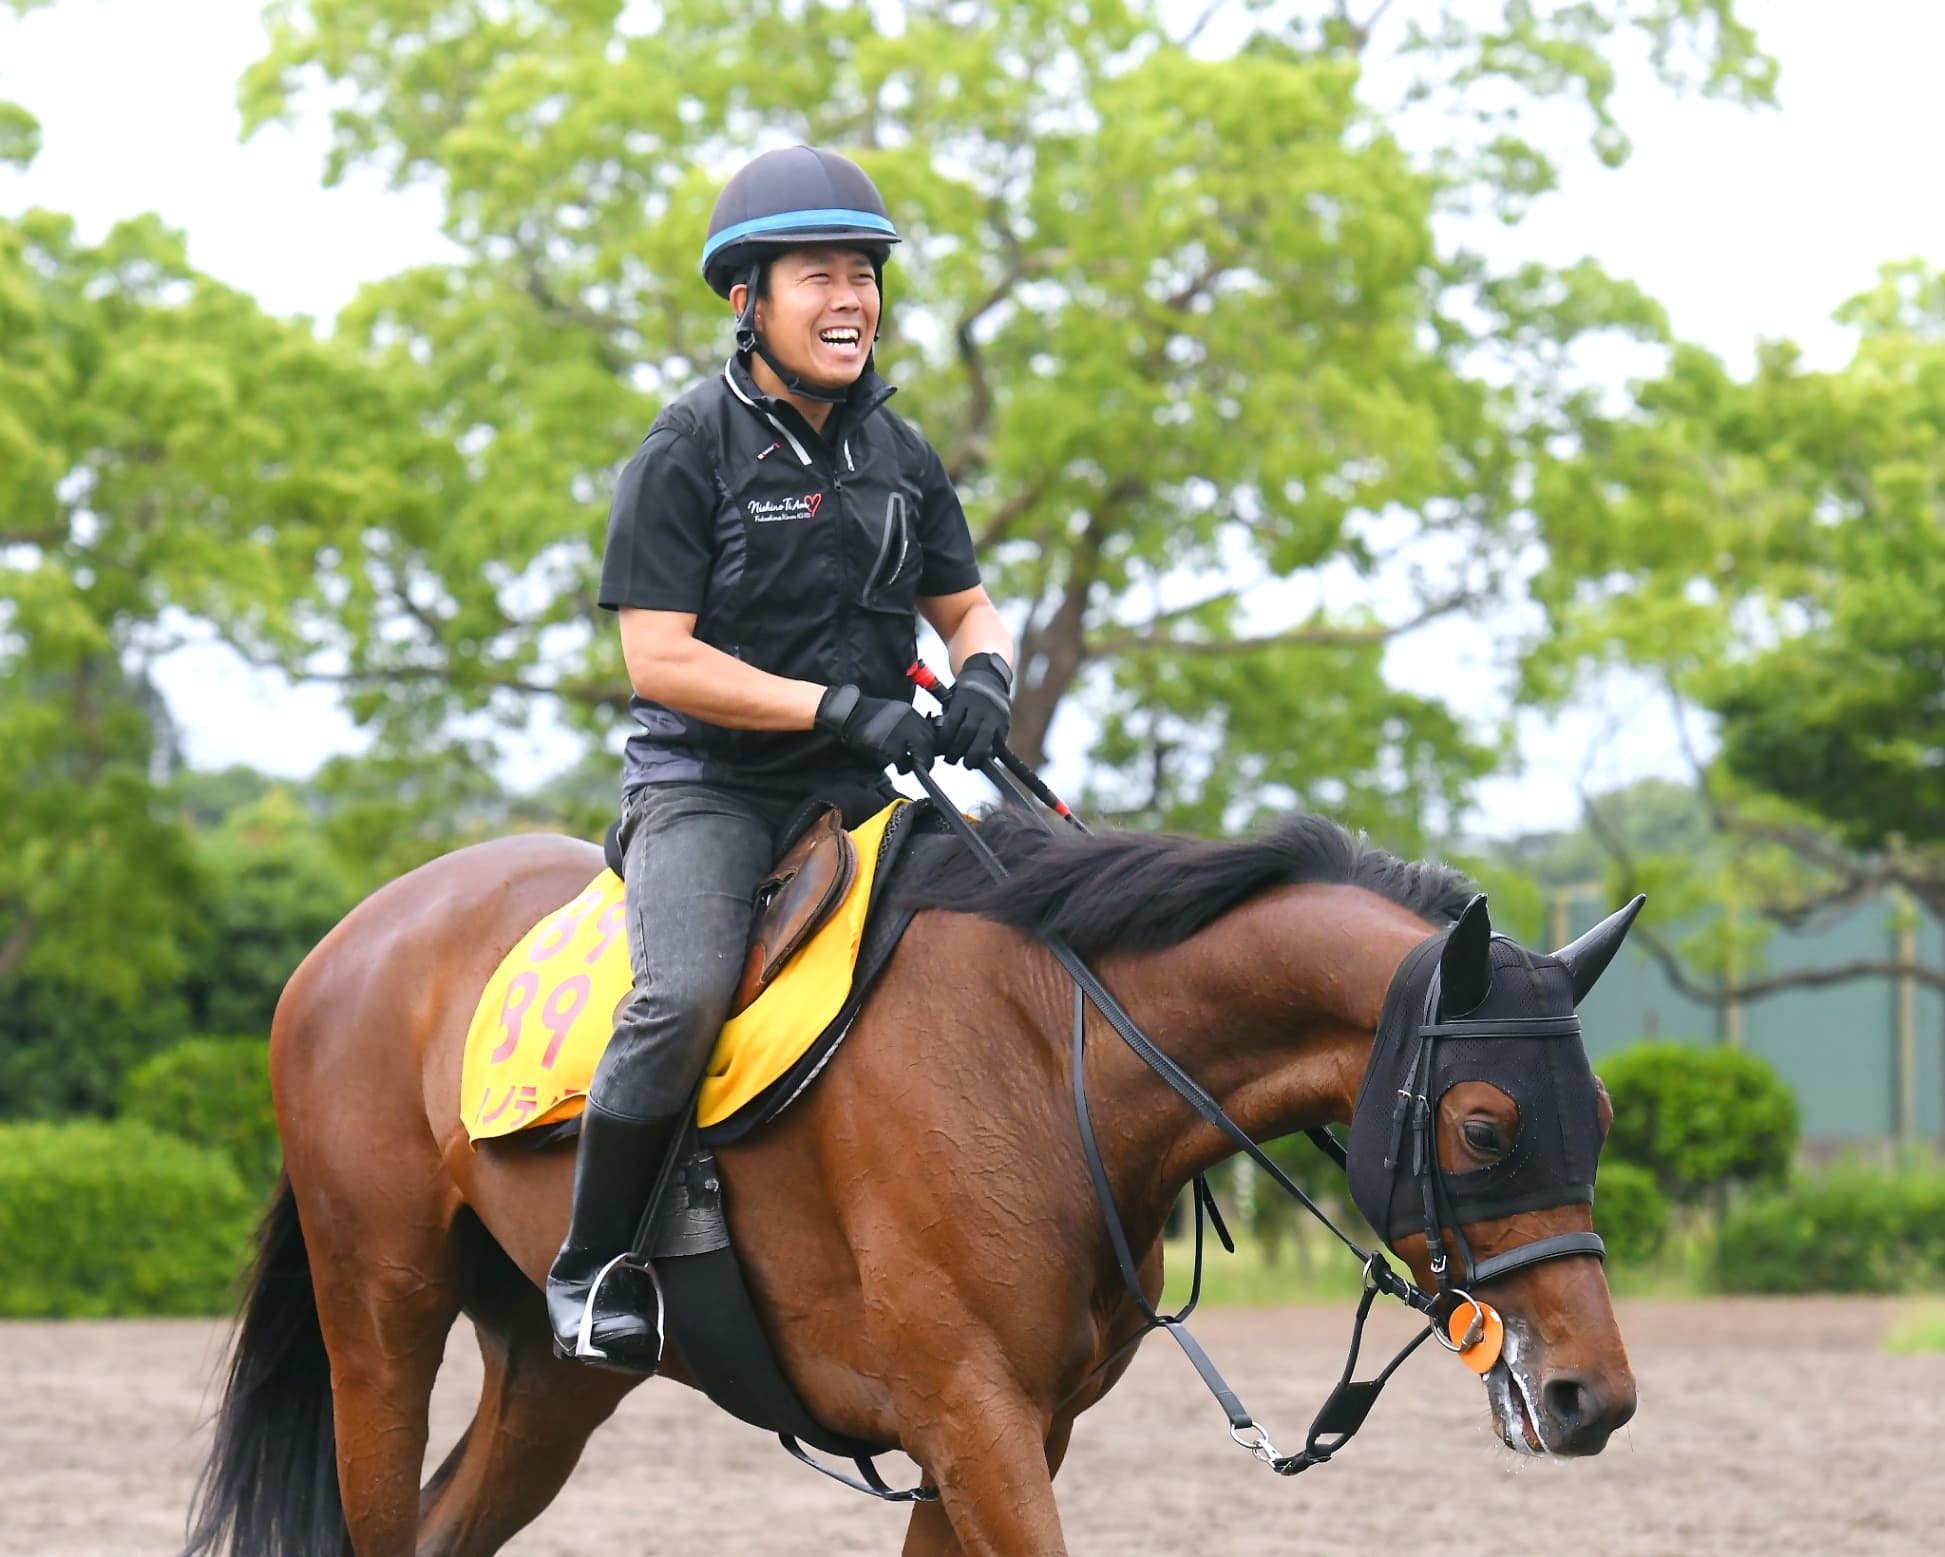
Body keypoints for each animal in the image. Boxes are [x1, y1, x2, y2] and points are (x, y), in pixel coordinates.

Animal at [181, 806, 1639, 1556]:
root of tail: (352, 939)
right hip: (382, 1327)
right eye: (1487, 1128)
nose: (1595, 1398)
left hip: (549, 1385)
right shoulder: (970, 1420)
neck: (1049, 1047)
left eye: (1603, 1114)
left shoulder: (1006, 1434)